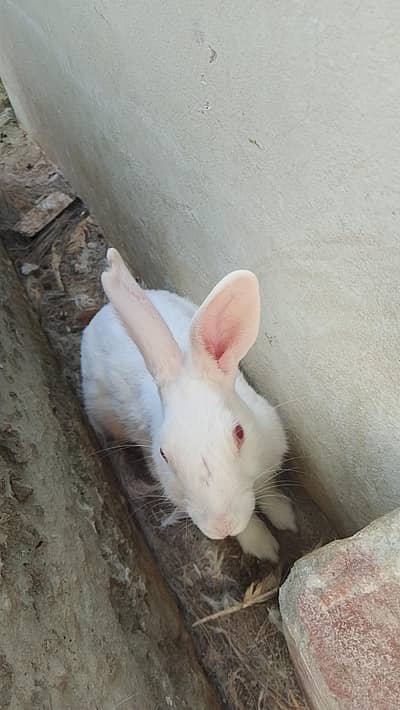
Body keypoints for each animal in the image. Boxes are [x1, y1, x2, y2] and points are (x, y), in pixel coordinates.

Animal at [80, 248, 297, 562]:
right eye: (164, 454)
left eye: (239, 433)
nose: (222, 525)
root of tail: (101, 314)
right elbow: (249, 525)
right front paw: (263, 546)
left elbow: (267, 488)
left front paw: (284, 516)